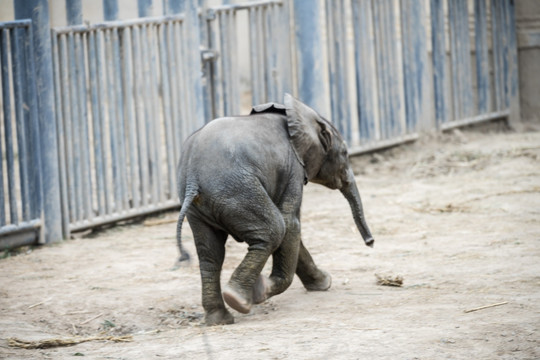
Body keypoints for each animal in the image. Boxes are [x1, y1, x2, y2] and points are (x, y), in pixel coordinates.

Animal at [175, 94, 374, 324]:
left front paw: (324, 284)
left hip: (201, 205)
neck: (296, 114)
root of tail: (193, 178)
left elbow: (293, 232)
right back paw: (239, 299)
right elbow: (291, 223)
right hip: (237, 190)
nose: (370, 242)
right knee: (274, 229)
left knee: (210, 254)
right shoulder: (293, 169)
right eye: (345, 153)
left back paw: (220, 318)